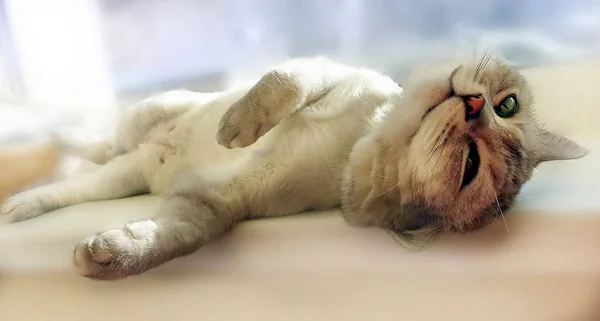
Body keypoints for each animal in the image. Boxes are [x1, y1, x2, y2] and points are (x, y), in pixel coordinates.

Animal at [0, 54, 584, 278]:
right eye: (508, 105)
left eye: (469, 167)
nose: (475, 106)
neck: (351, 142)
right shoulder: (325, 72)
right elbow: (283, 84)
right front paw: (238, 126)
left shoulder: (215, 200)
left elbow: (179, 236)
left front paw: (116, 255)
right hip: (147, 116)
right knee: (103, 142)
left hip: (123, 179)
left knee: (77, 181)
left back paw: (20, 203)